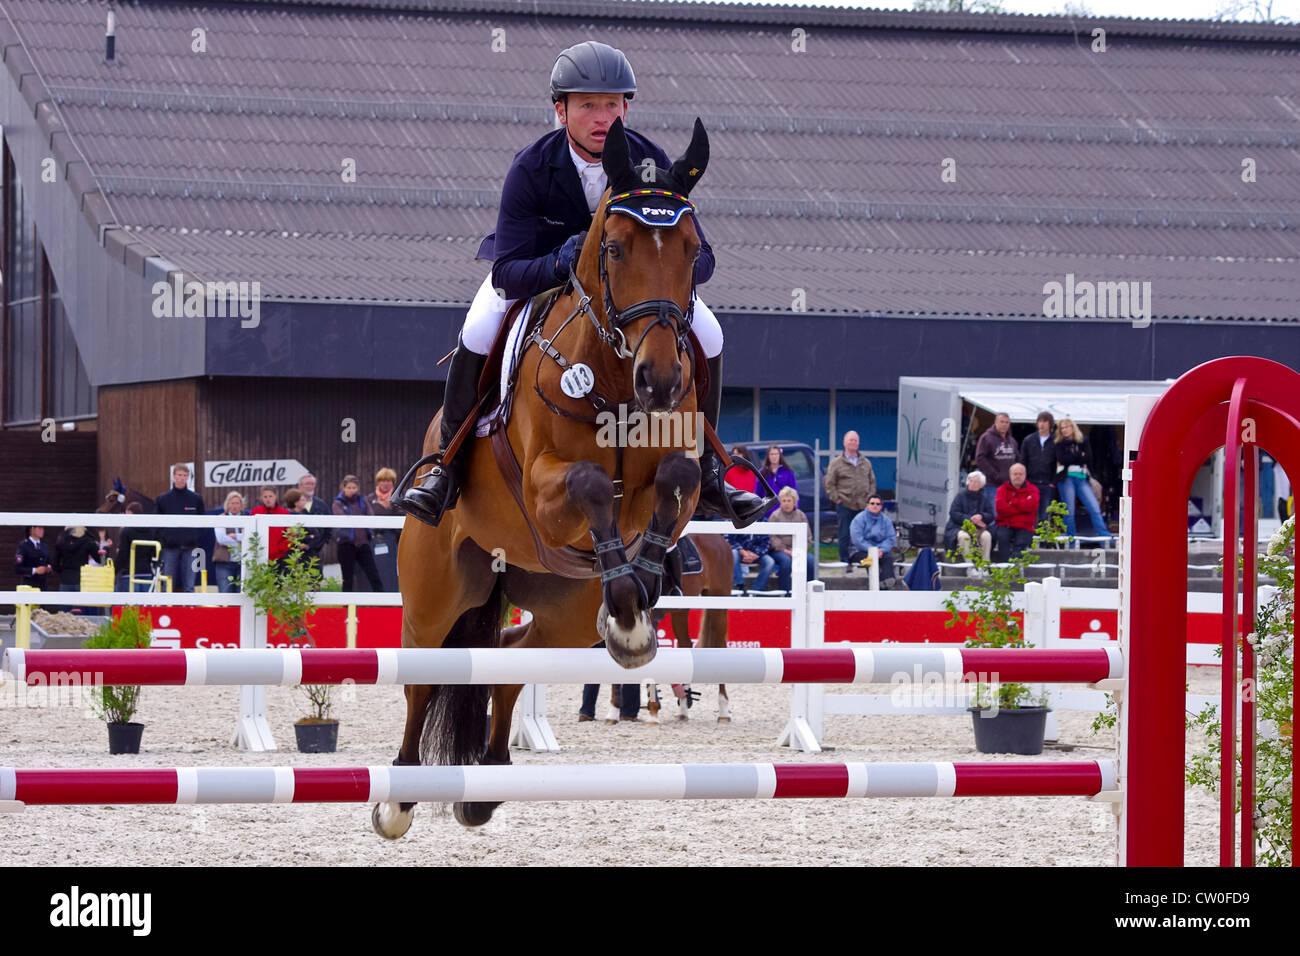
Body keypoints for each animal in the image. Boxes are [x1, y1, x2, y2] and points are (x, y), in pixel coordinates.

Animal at [377, 117, 754, 837]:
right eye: (612, 248)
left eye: (693, 250)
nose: (660, 381)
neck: (615, 382)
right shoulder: (544, 492)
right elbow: (587, 484)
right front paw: (634, 602)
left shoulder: (677, 473)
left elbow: (677, 476)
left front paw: (643, 588)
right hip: (438, 588)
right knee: (424, 673)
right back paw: (398, 799)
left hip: (567, 608)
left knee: (510, 652)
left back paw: (484, 786)